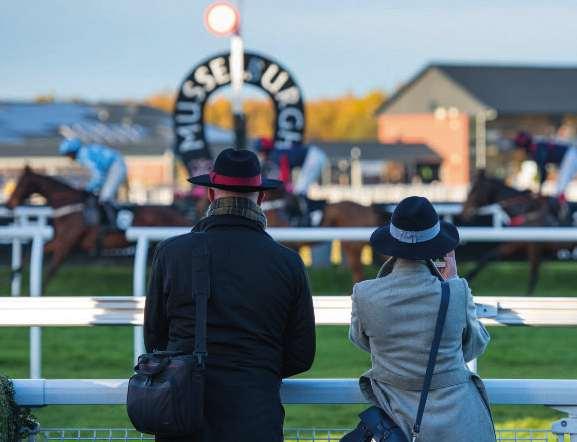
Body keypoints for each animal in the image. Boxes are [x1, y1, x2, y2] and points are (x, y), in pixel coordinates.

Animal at [6, 166, 191, 285]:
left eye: (20, 183)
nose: (8, 204)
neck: (71, 205)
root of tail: (179, 214)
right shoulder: (61, 241)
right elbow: (31, 254)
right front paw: (14, 273)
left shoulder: (66, 245)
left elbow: (50, 270)